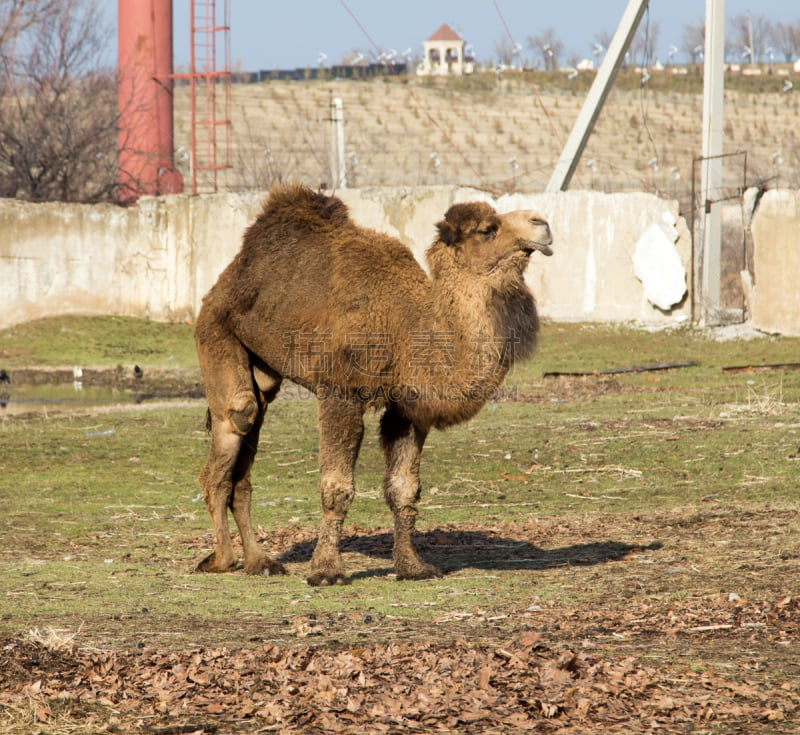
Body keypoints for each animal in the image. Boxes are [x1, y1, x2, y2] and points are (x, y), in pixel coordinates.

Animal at [197, 185, 552, 588]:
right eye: (488, 229)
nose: (542, 223)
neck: (406, 327)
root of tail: (226, 278)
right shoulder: (340, 392)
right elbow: (337, 488)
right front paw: (327, 571)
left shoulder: (408, 409)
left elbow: (403, 489)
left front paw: (413, 567)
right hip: (215, 330)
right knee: (237, 417)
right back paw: (223, 559)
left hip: (264, 368)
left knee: (247, 449)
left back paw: (261, 561)